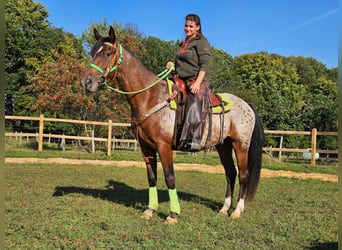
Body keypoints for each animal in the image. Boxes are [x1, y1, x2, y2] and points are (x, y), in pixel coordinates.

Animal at [81, 26, 266, 224]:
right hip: (223, 145)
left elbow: (170, 177)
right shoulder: (146, 147)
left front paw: (173, 214)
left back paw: (237, 211)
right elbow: (152, 178)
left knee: (243, 175)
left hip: (241, 145)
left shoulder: (164, 146)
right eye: (92, 53)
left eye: (108, 53)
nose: (87, 82)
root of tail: (247, 105)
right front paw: (150, 210)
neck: (150, 96)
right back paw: (224, 209)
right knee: (230, 173)